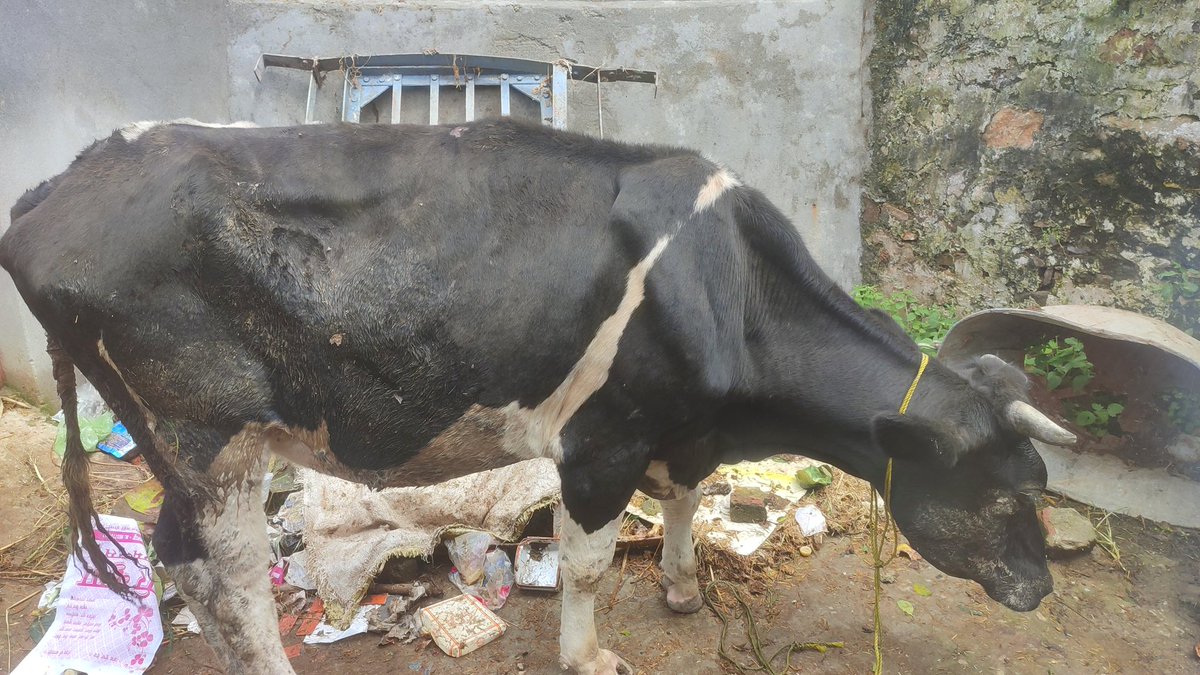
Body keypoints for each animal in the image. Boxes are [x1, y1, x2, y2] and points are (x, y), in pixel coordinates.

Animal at [0, 118, 1075, 674]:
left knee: (180, 554)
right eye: (1006, 495)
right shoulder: (601, 441)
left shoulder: (679, 425)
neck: (730, 288)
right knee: (221, 565)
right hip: (206, 432)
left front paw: (682, 587)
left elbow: (683, 498)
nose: (1041, 588)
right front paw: (591, 656)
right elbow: (590, 564)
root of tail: (61, 183)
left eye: (1039, 483)